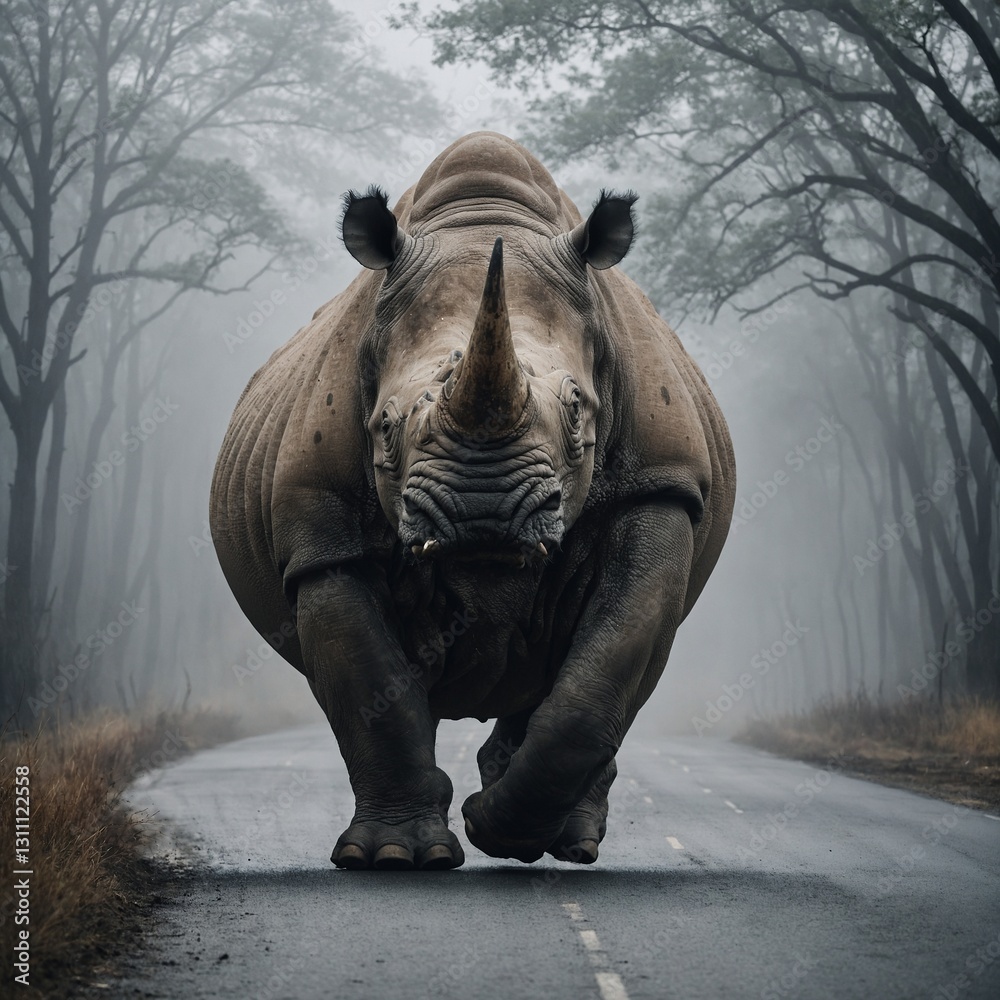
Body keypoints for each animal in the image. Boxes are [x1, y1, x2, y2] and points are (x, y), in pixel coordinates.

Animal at [210, 132, 735, 870]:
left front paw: (502, 832)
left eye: (579, 412)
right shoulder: (322, 535)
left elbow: (605, 668)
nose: (481, 514)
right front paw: (395, 856)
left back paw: (567, 843)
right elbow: (371, 688)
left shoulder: (660, 484)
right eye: (385, 426)